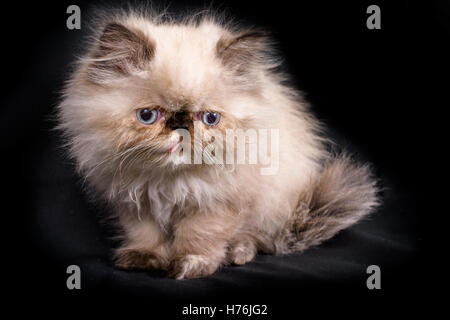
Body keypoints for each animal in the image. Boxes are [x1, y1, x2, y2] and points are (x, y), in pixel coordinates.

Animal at [57, 8, 380, 278]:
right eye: (148, 116)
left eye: (209, 118)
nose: (181, 124)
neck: (169, 182)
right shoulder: (134, 202)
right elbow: (146, 235)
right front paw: (144, 259)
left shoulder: (218, 203)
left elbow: (198, 237)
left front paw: (190, 265)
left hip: (273, 204)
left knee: (258, 239)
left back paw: (237, 253)